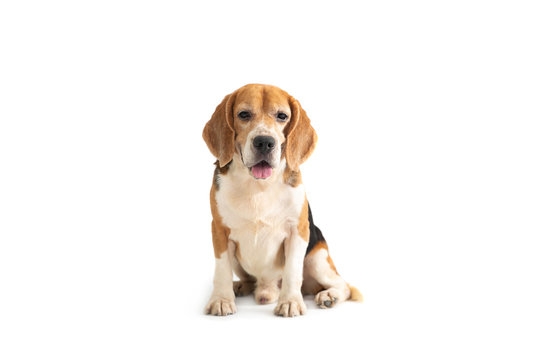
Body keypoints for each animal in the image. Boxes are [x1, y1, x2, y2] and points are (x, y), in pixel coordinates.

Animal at [202, 83, 362, 316]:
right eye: (243, 114)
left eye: (282, 116)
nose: (264, 142)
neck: (258, 186)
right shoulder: (220, 231)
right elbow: (222, 269)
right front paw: (222, 299)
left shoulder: (298, 231)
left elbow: (292, 271)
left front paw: (290, 302)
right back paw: (241, 287)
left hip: (317, 259)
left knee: (345, 286)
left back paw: (329, 296)